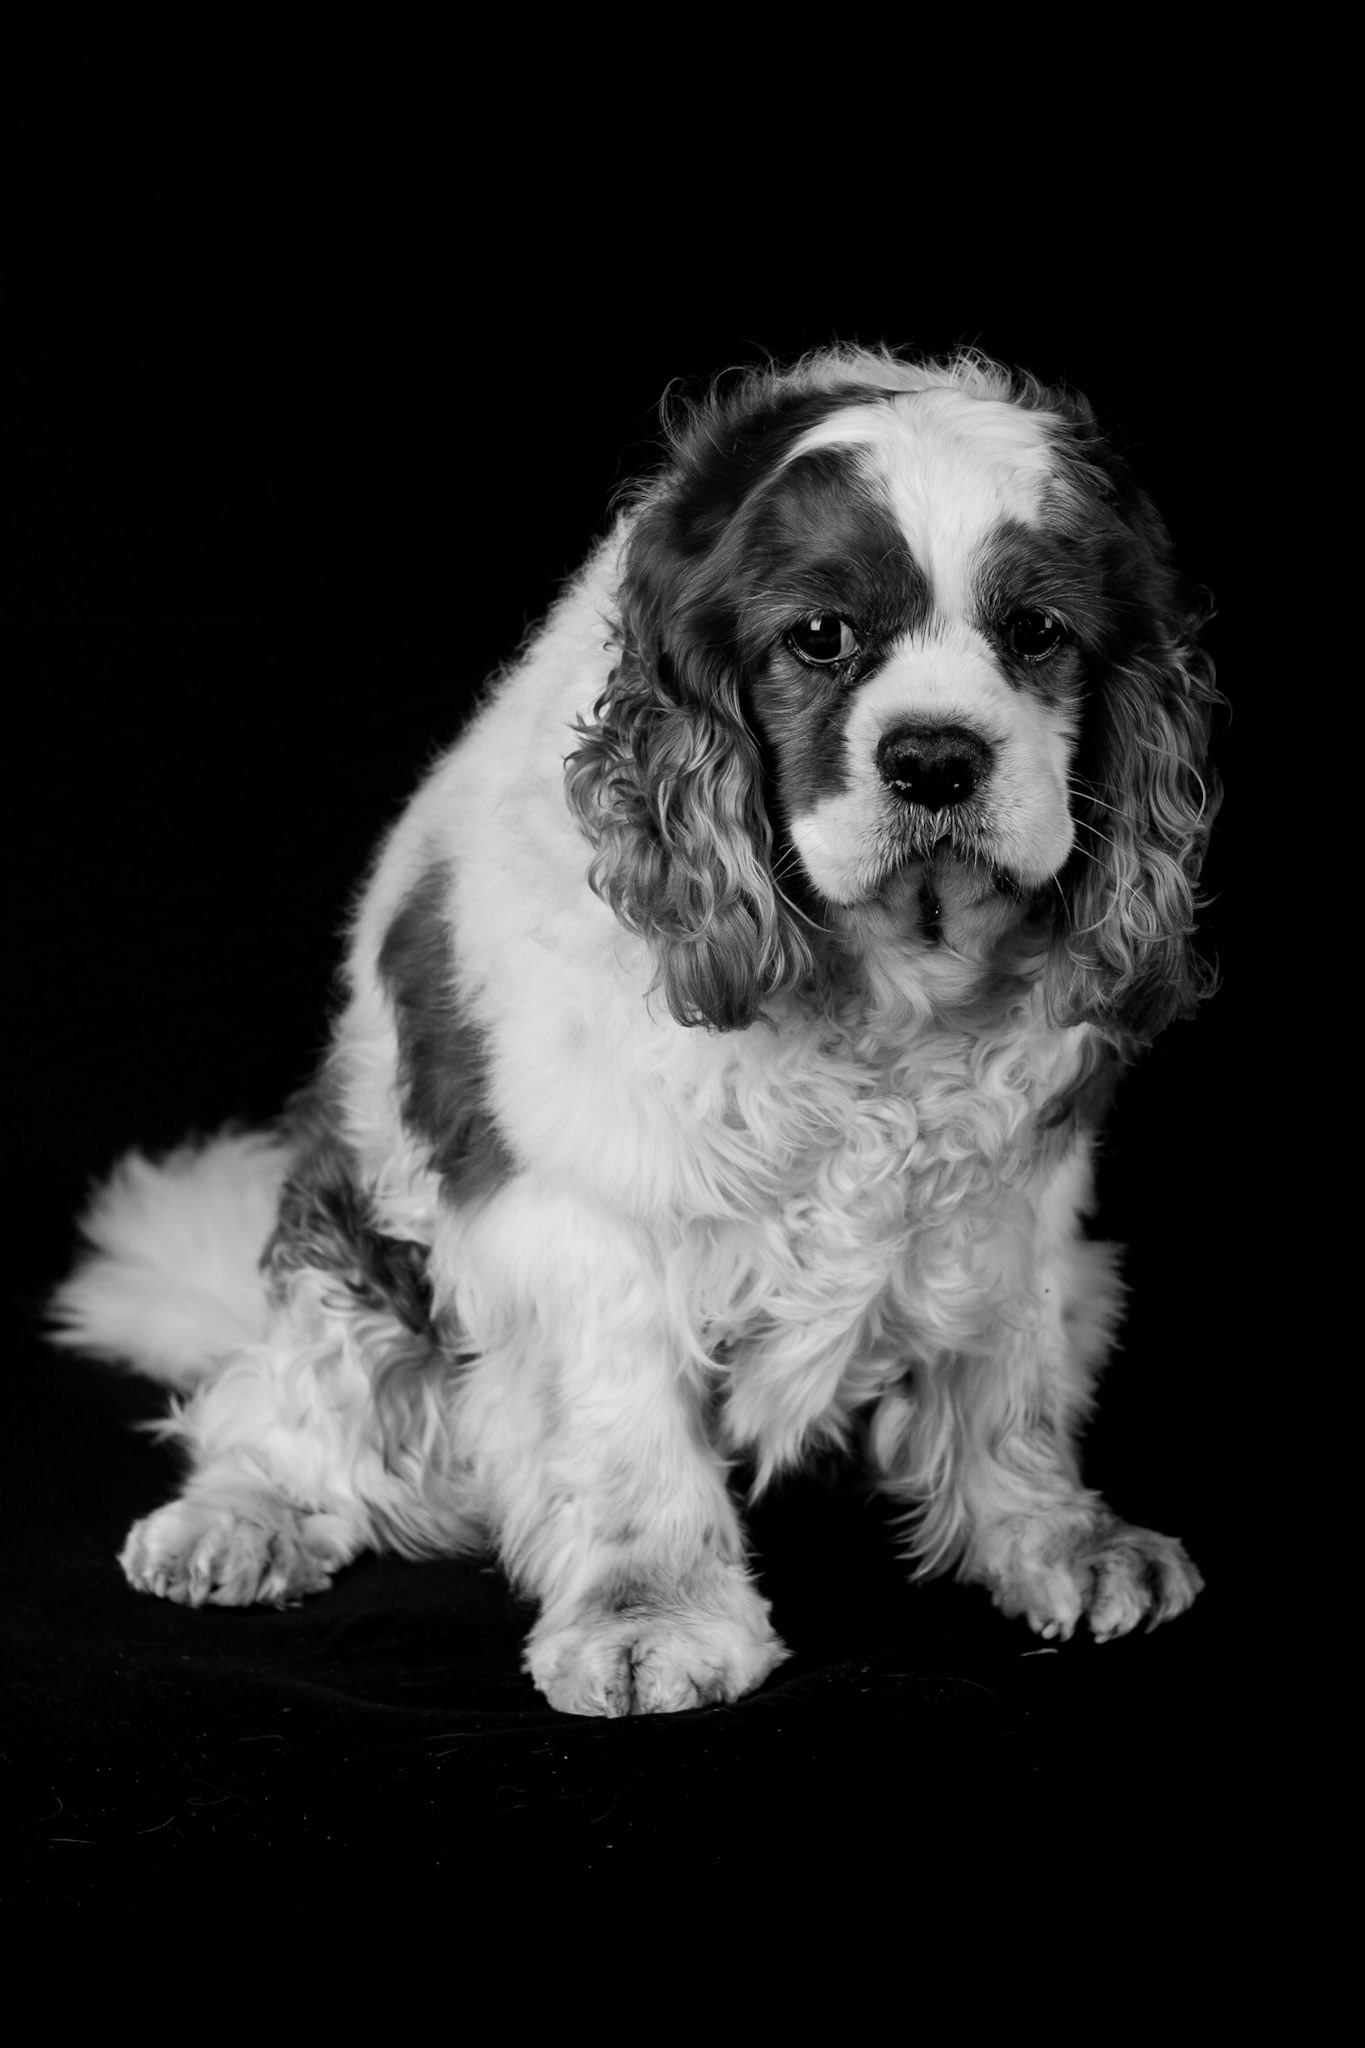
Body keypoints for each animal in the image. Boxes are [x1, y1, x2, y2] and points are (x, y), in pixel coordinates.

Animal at [52, 343, 1220, 1716]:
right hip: (347, 1251)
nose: (935, 758)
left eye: (1037, 631)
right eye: (819, 637)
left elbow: (1012, 1388)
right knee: (283, 1404)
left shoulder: (1019, 1202)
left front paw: (1051, 1536)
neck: (883, 994)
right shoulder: (585, 1211)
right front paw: (651, 1615)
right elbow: (622, 1438)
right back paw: (242, 1516)